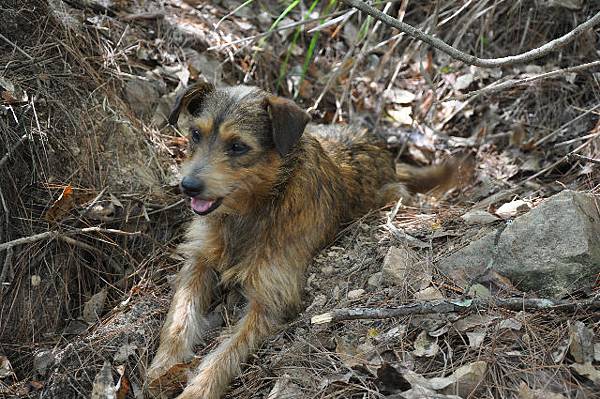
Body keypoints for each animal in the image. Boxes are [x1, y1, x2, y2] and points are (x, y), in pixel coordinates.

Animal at [146, 83, 460, 398]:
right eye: (196, 134)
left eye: (238, 146)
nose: (188, 186)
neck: (253, 208)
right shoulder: (198, 261)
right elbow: (179, 316)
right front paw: (163, 366)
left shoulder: (270, 300)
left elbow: (226, 353)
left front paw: (197, 390)